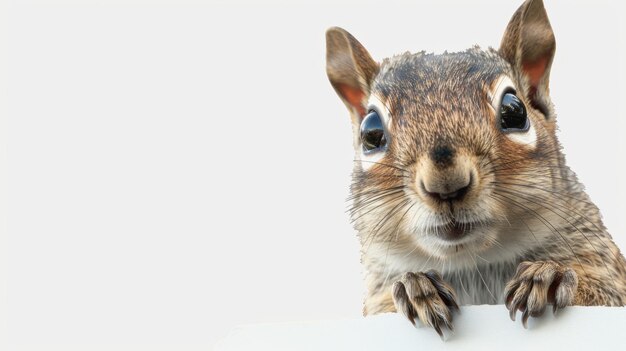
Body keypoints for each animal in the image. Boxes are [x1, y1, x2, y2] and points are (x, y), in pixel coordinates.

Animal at [324, 0, 624, 338]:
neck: (474, 263)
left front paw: (549, 275)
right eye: (370, 133)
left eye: (514, 112)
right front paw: (417, 286)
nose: (446, 185)